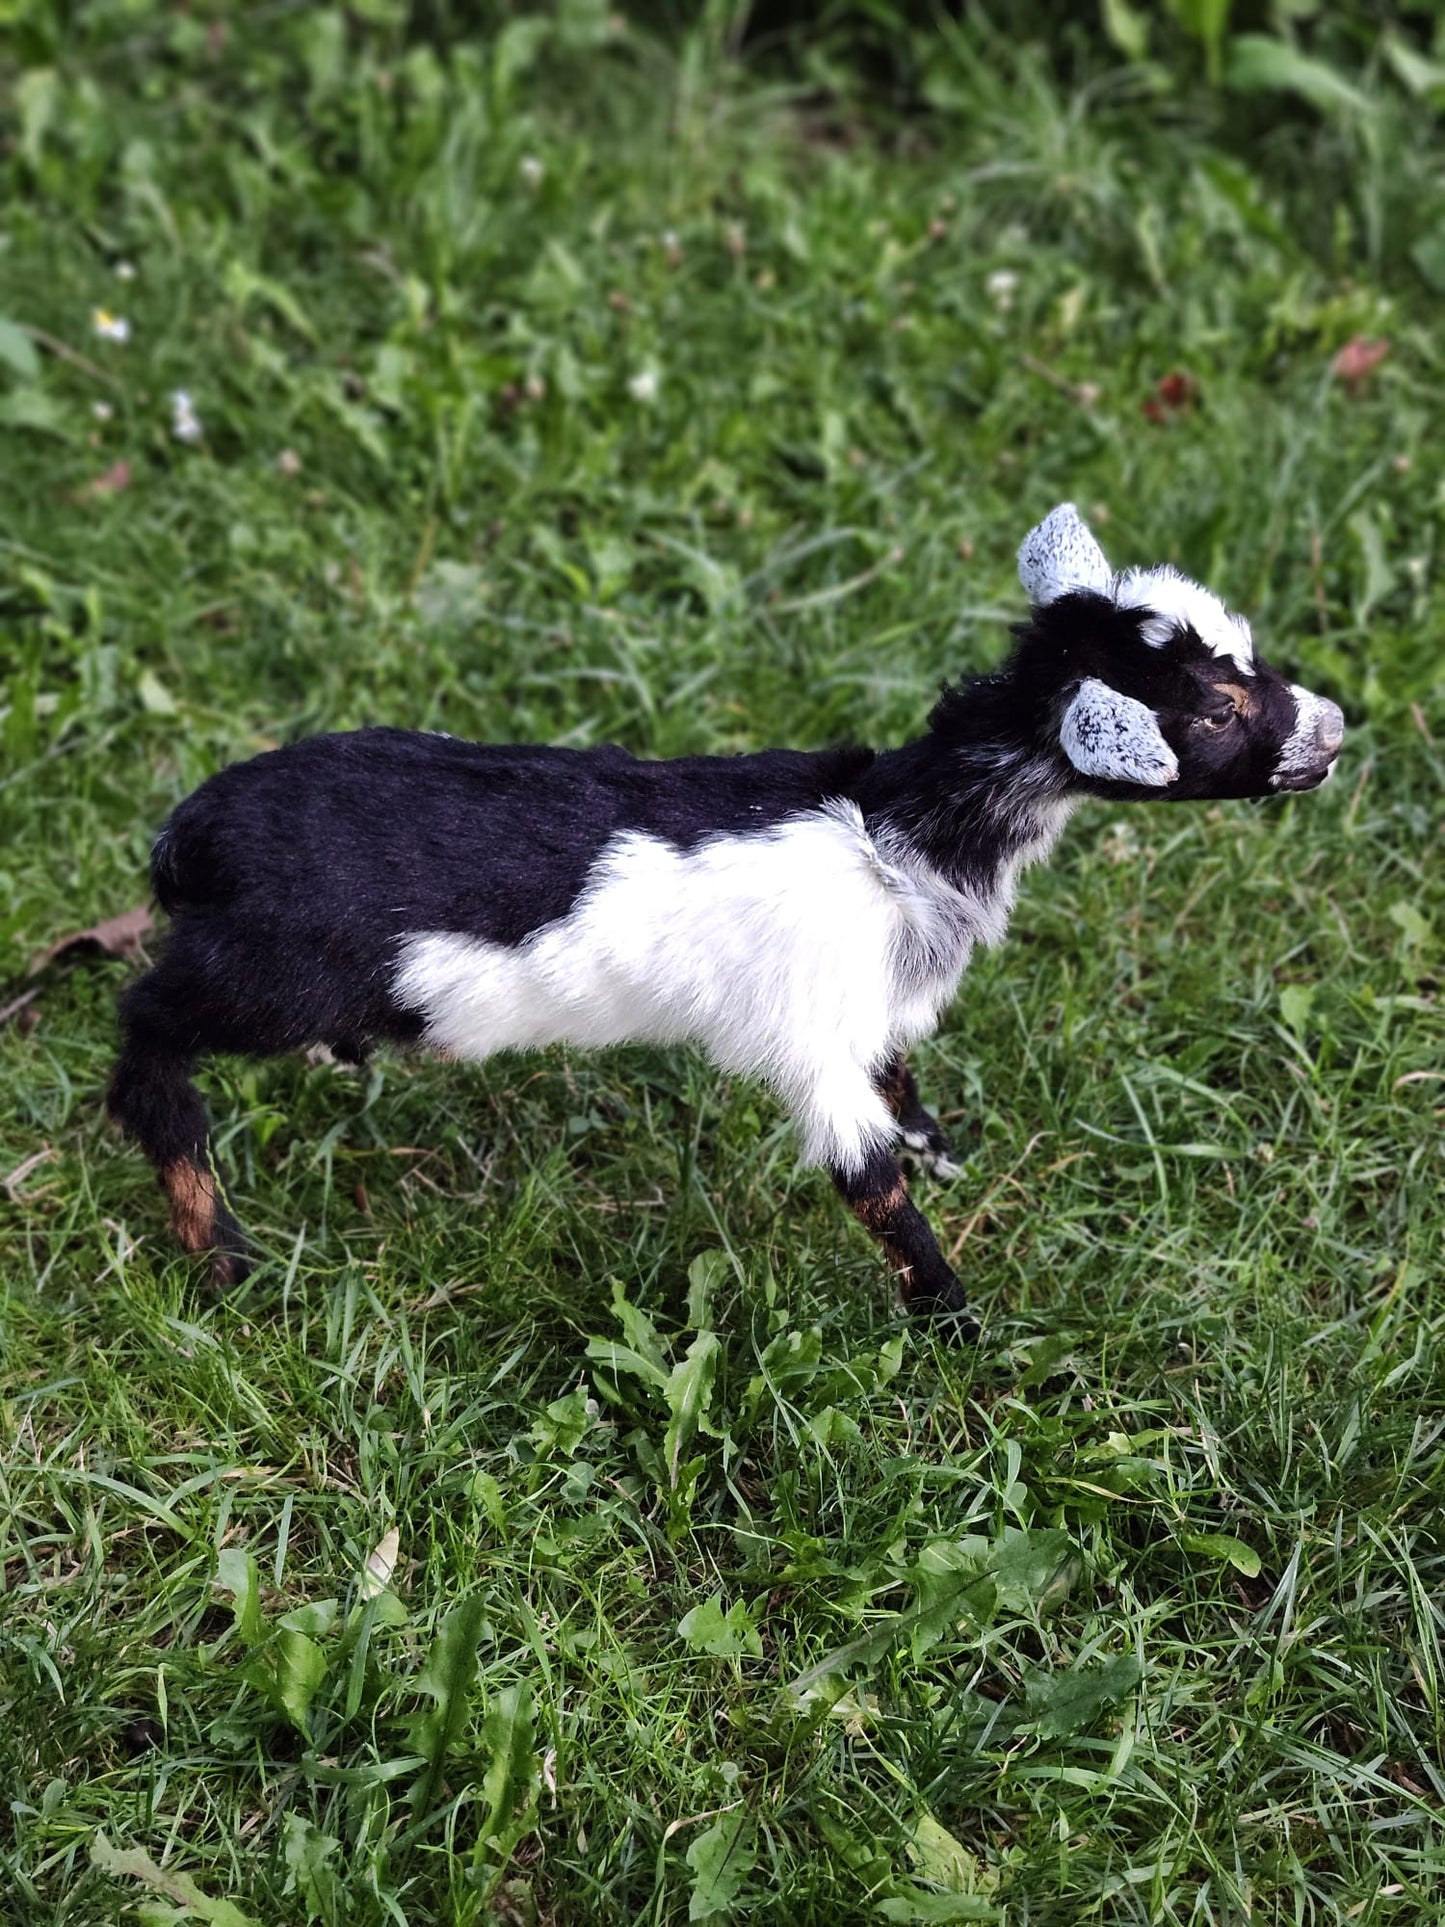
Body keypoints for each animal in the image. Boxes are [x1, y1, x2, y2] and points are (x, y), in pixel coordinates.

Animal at [108, 503, 1343, 1331]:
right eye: (1215, 711)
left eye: (1243, 660)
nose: (1332, 731)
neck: (898, 831)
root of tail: (195, 834)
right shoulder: (811, 1040)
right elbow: (869, 1184)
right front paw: (954, 1317)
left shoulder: (868, 1005)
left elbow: (898, 1082)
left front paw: (939, 1144)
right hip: (273, 965)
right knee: (148, 1030)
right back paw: (219, 1250)